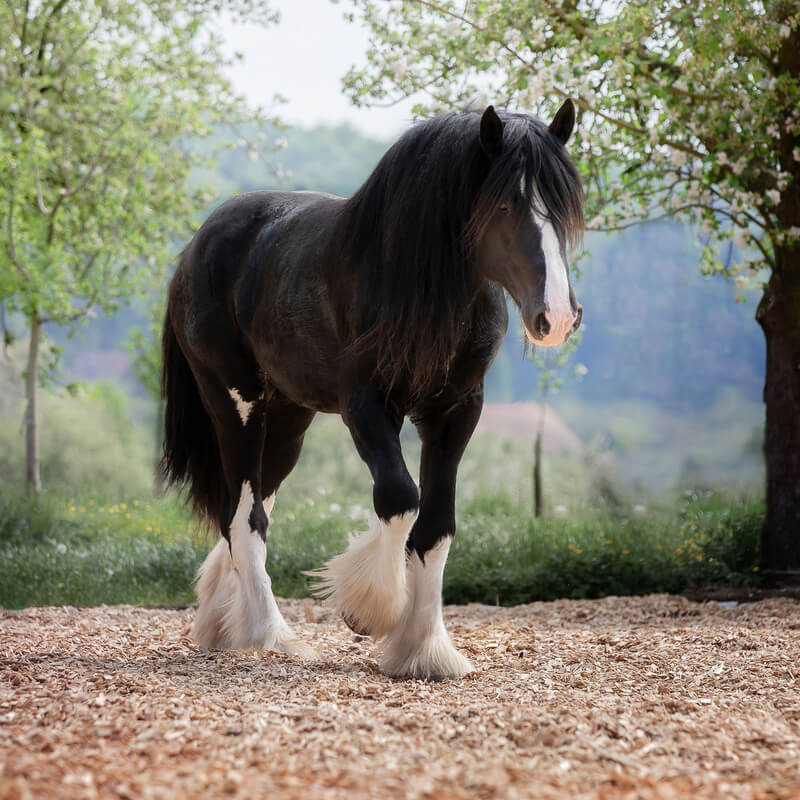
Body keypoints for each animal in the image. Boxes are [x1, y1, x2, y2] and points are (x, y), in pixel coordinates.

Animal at [162, 100, 584, 680]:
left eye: (565, 209)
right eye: (503, 204)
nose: (558, 317)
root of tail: (196, 246)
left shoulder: (456, 411)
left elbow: (437, 525)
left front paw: (426, 649)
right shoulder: (365, 406)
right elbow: (400, 499)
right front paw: (370, 611)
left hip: (288, 418)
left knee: (247, 509)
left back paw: (225, 623)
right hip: (236, 402)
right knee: (244, 516)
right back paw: (273, 636)